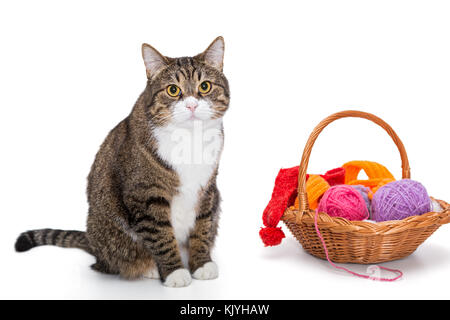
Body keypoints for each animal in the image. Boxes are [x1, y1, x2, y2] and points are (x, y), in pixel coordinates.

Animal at [15, 37, 230, 288]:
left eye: (205, 86)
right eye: (173, 90)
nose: (192, 105)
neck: (189, 139)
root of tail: (93, 244)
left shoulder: (207, 189)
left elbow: (202, 227)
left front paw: (201, 263)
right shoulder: (145, 195)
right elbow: (161, 236)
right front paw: (174, 271)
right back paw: (149, 268)